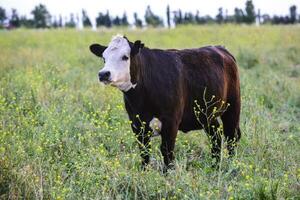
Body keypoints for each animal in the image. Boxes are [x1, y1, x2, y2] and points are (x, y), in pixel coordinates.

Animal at [89, 35, 241, 171]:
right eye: (104, 58)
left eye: (125, 57)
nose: (103, 74)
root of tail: (221, 49)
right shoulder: (137, 125)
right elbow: (144, 152)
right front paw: (144, 173)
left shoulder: (171, 122)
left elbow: (167, 151)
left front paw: (168, 175)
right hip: (207, 116)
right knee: (216, 137)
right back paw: (215, 166)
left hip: (232, 108)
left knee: (231, 137)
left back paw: (231, 166)